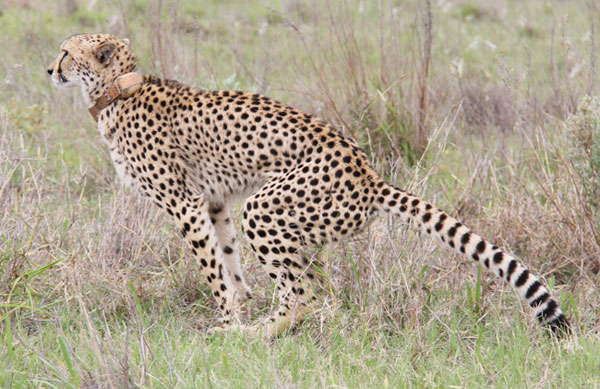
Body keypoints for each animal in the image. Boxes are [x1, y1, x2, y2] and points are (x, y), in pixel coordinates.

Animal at [48, 33, 572, 336]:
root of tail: (370, 174)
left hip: (266, 207)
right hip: (294, 224)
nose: (49, 70)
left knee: (306, 295)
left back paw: (261, 333)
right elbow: (228, 260)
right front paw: (240, 303)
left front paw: (225, 323)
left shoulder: (185, 204)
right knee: (322, 296)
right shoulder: (214, 202)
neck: (118, 89)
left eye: (66, 52)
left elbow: (212, 271)